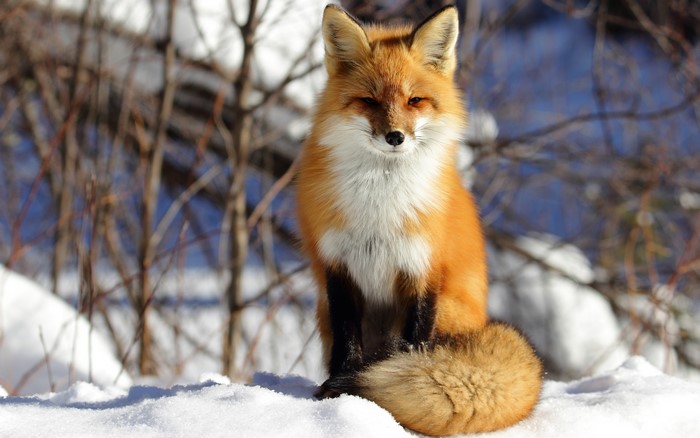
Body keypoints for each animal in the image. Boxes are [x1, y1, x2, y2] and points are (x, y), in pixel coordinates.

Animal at [295, 4, 543, 435]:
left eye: (415, 100)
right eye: (369, 100)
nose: (395, 136)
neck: (380, 204)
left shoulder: (422, 266)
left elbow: (413, 344)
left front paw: (383, 384)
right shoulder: (337, 266)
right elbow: (347, 341)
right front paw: (339, 393)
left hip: (449, 310)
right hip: (324, 309)